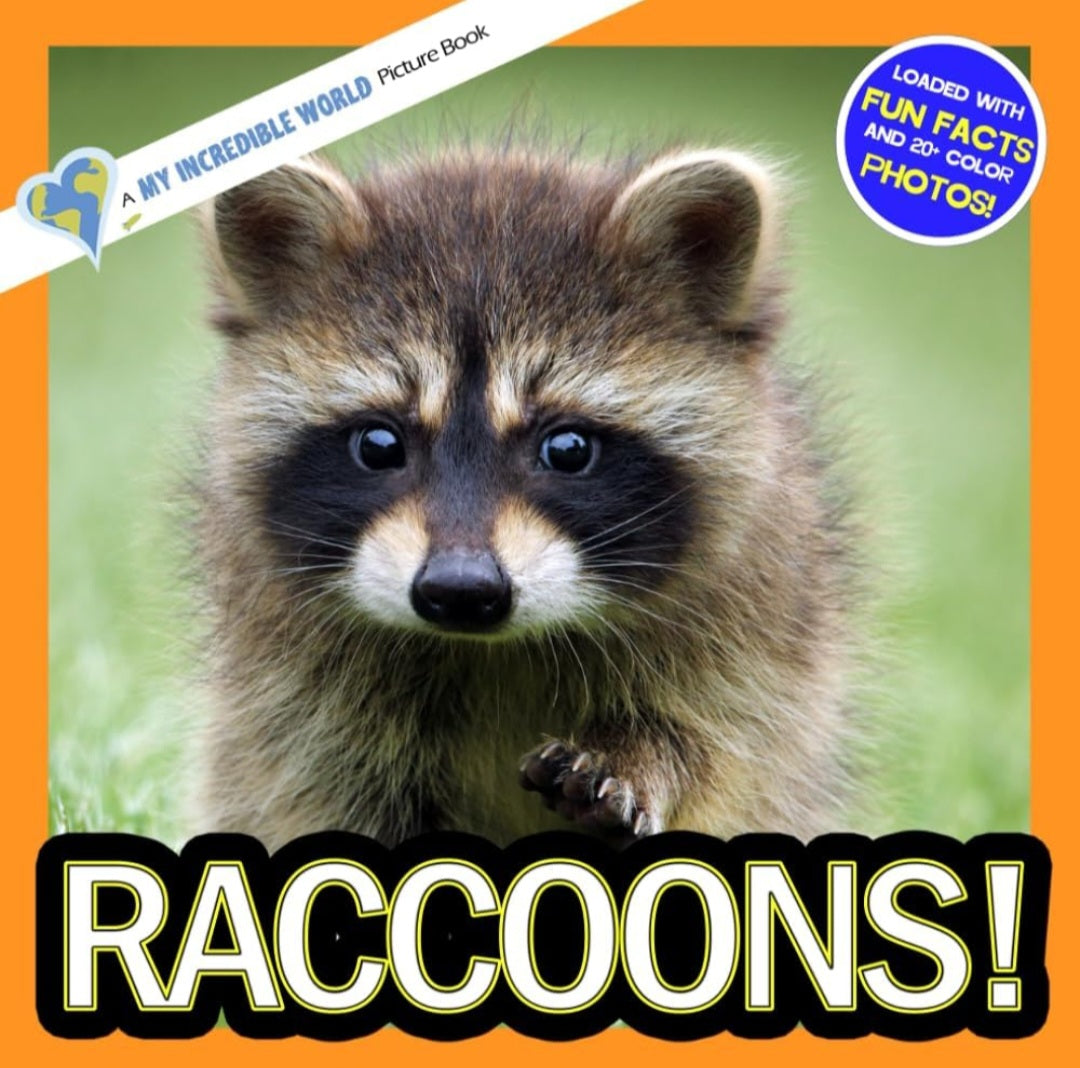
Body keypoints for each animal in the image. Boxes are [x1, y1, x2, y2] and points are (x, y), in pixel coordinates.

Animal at [195, 146, 857, 850]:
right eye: (378, 445)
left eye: (567, 449)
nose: (460, 589)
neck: (493, 649)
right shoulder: (291, 688)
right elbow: (316, 785)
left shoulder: (755, 635)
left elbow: (722, 748)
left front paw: (639, 755)